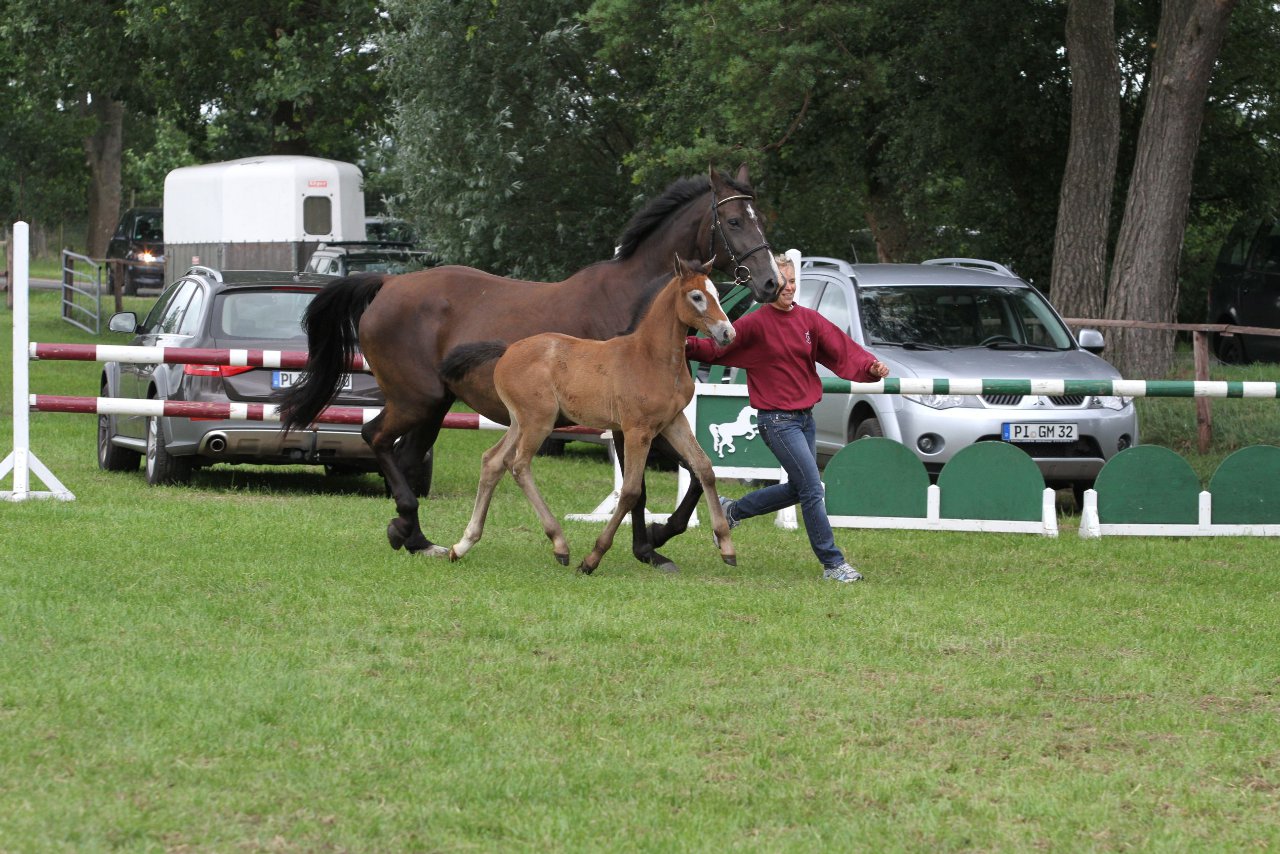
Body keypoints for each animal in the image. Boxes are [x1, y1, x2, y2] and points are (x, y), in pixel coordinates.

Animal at [445, 256, 737, 573]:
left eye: (717, 293)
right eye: (696, 296)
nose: (728, 333)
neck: (651, 357)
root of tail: (508, 349)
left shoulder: (673, 421)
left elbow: (704, 468)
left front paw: (726, 545)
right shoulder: (636, 430)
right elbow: (631, 491)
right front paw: (593, 558)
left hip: (519, 422)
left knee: (493, 461)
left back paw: (463, 544)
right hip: (538, 422)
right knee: (518, 465)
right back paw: (559, 544)